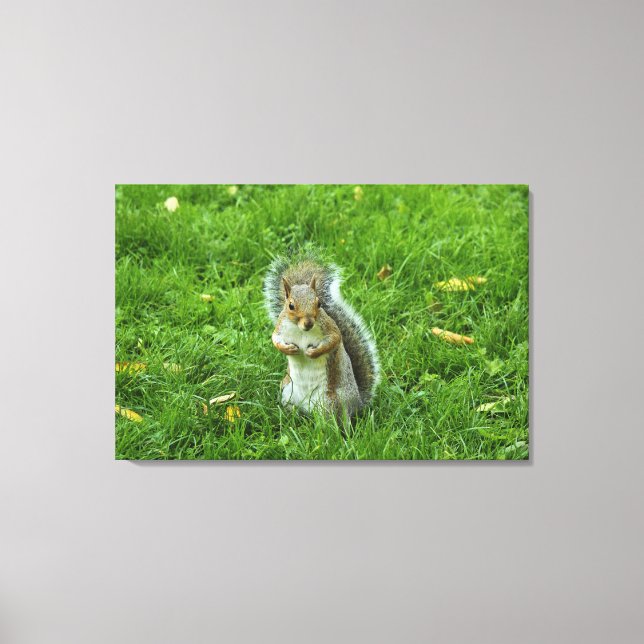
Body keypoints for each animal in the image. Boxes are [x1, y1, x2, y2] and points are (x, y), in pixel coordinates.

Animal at [264, 251, 380, 418]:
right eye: (290, 305)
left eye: (318, 304)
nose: (308, 323)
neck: (301, 330)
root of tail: (357, 404)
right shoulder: (280, 327)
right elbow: (275, 339)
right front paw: (288, 349)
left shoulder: (330, 328)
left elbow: (334, 339)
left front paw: (313, 352)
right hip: (286, 391)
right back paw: (291, 414)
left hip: (331, 403)